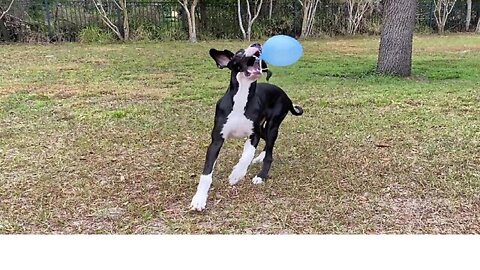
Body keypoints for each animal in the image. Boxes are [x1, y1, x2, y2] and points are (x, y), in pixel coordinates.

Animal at [189, 43, 302, 211]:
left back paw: (261, 175)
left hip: (272, 126)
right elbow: (206, 173)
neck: (242, 98)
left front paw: (236, 174)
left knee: (270, 152)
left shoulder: (253, 135)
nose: (256, 44)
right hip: (264, 128)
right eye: (240, 53)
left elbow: (246, 155)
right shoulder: (216, 140)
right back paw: (260, 157)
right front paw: (199, 199)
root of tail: (286, 96)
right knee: (268, 144)